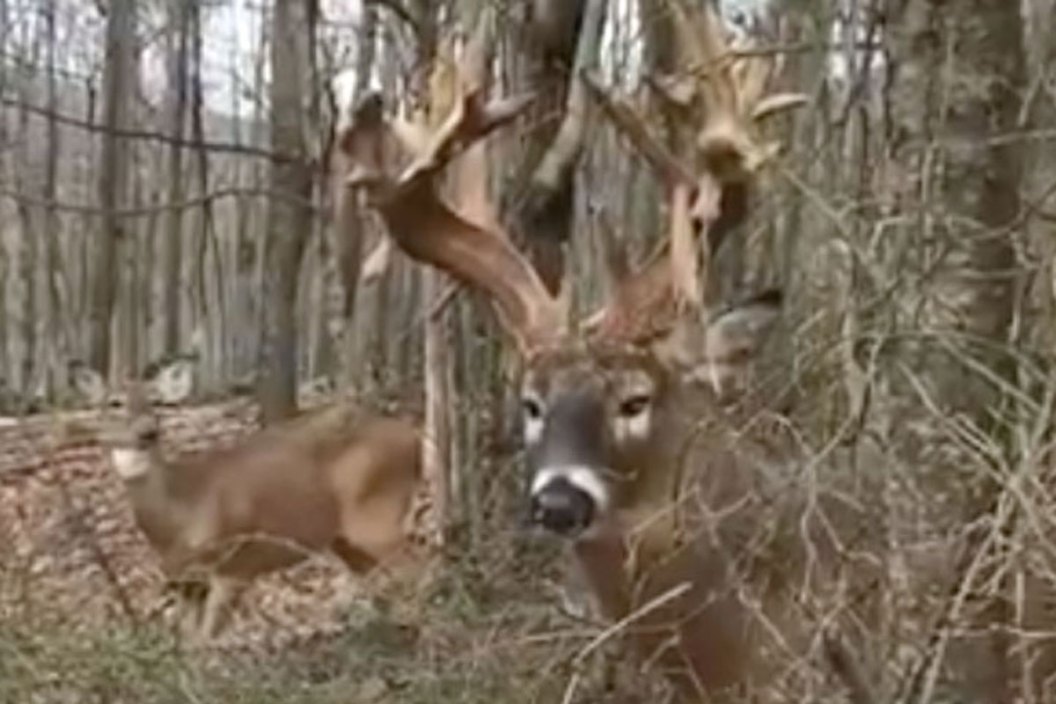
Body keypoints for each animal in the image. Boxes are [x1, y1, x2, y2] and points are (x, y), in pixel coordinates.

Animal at [103, 386, 424, 642]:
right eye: (114, 402)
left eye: (155, 402)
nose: (148, 431)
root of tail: (415, 438)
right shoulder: (185, 581)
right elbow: (188, 642)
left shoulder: (235, 566)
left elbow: (205, 642)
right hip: (344, 539)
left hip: (378, 515)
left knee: (419, 568)